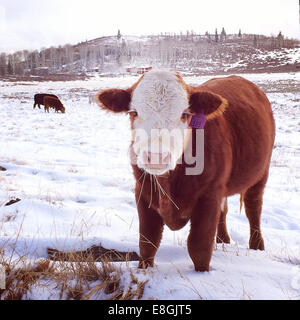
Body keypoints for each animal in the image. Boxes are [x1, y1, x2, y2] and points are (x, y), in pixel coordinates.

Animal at [95, 70, 276, 272]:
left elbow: (199, 246)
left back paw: (257, 245)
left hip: (261, 173)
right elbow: (148, 241)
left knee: (254, 208)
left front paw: (202, 274)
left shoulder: (209, 196)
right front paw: (144, 269)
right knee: (224, 210)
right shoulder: (142, 192)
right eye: (134, 112)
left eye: (185, 114)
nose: (156, 156)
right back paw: (222, 239)